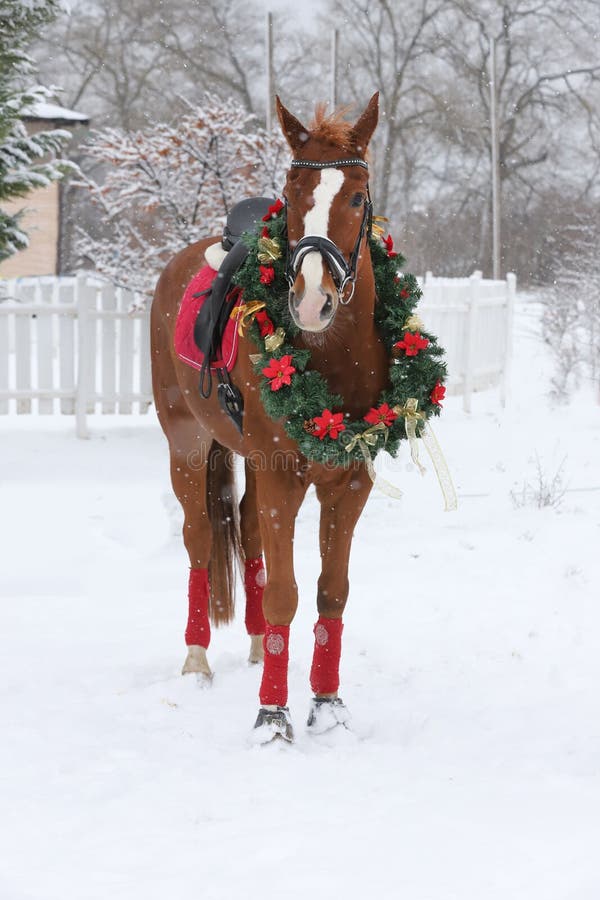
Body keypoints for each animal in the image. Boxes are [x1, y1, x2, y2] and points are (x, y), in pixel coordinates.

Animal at [150, 91, 384, 740]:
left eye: (358, 195)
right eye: (291, 192)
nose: (311, 300)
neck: (332, 358)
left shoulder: (349, 480)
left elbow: (332, 592)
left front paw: (326, 705)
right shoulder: (282, 475)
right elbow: (285, 593)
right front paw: (272, 716)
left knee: (250, 533)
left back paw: (258, 647)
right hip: (187, 445)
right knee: (200, 539)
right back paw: (197, 659)